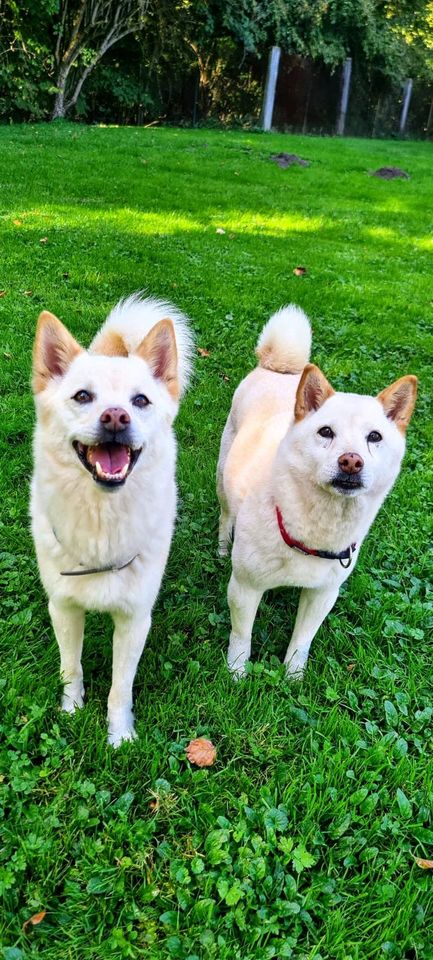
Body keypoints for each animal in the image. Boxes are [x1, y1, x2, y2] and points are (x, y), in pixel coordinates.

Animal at [30, 296, 192, 748]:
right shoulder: (63, 608)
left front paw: (119, 735)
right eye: (83, 396)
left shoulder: (135, 620)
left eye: (141, 401)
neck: (102, 518)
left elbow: (121, 687)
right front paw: (71, 710)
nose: (116, 417)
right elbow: (71, 667)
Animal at [218, 306, 416, 676]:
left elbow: (302, 640)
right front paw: (236, 673)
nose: (351, 461)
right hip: (223, 476)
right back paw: (222, 547)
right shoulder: (245, 587)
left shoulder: (324, 594)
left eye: (375, 437)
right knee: (225, 516)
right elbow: (242, 636)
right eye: (326, 432)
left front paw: (293, 676)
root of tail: (279, 369)